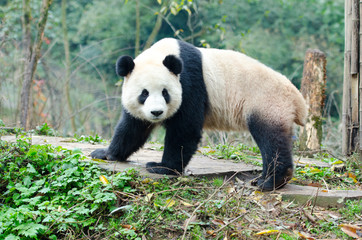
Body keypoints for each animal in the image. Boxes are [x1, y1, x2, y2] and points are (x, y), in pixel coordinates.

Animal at [91, 38, 308, 191]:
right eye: (144, 94)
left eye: (165, 92)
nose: (156, 112)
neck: (163, 54)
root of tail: (298, 99)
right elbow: (133, 128)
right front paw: (105, 154)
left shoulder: (189, 82)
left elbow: (185, 129)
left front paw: (161, 167)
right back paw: (264, 179)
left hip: (266, 102)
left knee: (270, 139)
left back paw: (271, 181)